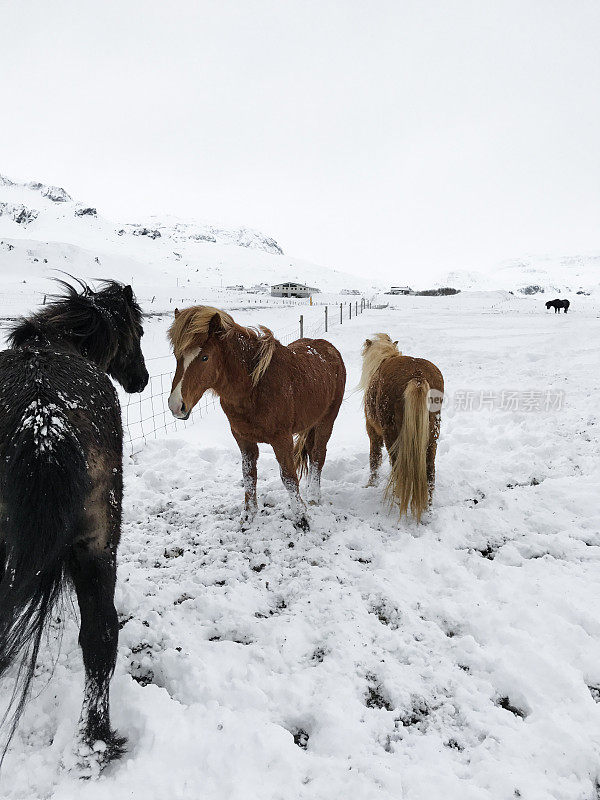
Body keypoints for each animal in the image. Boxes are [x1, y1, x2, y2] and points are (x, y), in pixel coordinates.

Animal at [0, 280, 149, 768]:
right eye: (140, 332)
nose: (141, 379)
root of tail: (44, 421)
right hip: (98, 544)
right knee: (101, 637)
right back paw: (96, 740)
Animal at [169, 306, 346, 532]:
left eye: (205, 357)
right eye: (177, 355)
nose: (176, 406)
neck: (254, 386)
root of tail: (329, 349)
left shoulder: (282, 439)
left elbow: (289, 477)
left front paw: (302, 519)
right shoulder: (243, 439)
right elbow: (249, 476)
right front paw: (248, 517)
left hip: (327, 420)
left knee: (317, 455)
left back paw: (314, 496)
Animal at [358, 334, 442, 520]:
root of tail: (417, 375)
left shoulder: (373, 432)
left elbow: (374, 458)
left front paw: (371, 484)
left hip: (392, 437)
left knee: (397, 468)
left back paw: (397, 500)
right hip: (432, 437)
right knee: (430, 472)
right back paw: (428, 510)